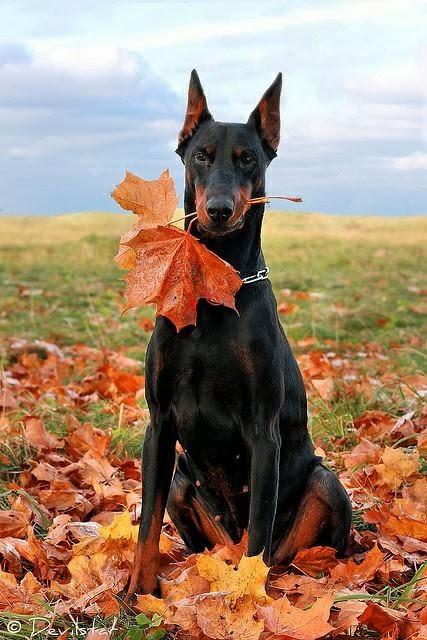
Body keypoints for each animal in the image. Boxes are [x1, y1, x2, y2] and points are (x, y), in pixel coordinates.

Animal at [128, 70, 354, 596]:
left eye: (248, 158)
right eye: (201, 156)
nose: (218, 209)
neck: (213, 285)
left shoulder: (263, 433)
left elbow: (258, 534)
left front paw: (248, 600)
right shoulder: (159, 424)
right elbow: (147, 526)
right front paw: (135, 597)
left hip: (323, 483)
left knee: (275, 547)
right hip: (182, 481)